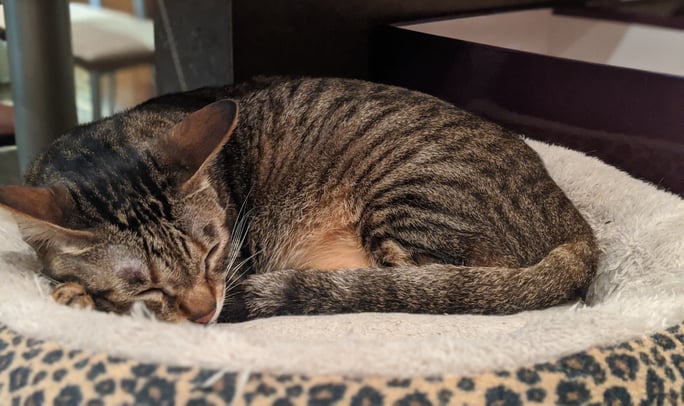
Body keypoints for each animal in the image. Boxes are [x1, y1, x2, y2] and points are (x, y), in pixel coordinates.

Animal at [0, 76, 600, 324]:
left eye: (212, 252)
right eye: (142, 282)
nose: (204, 312)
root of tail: (577, 224)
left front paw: (79, 297)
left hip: (410, 206)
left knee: (417, 289)